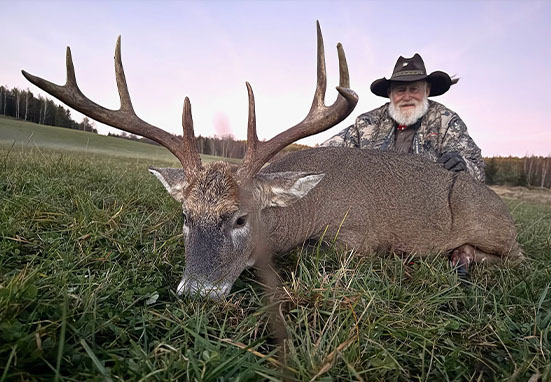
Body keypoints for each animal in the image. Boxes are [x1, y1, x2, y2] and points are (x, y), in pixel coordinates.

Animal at [20, 23, 520, 298]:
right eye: (184, 216)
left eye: (241, 217)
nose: (198, 293)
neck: (305, 211)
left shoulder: (357, 238)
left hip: (490, 224)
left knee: (518, 260)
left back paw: (462, 256)